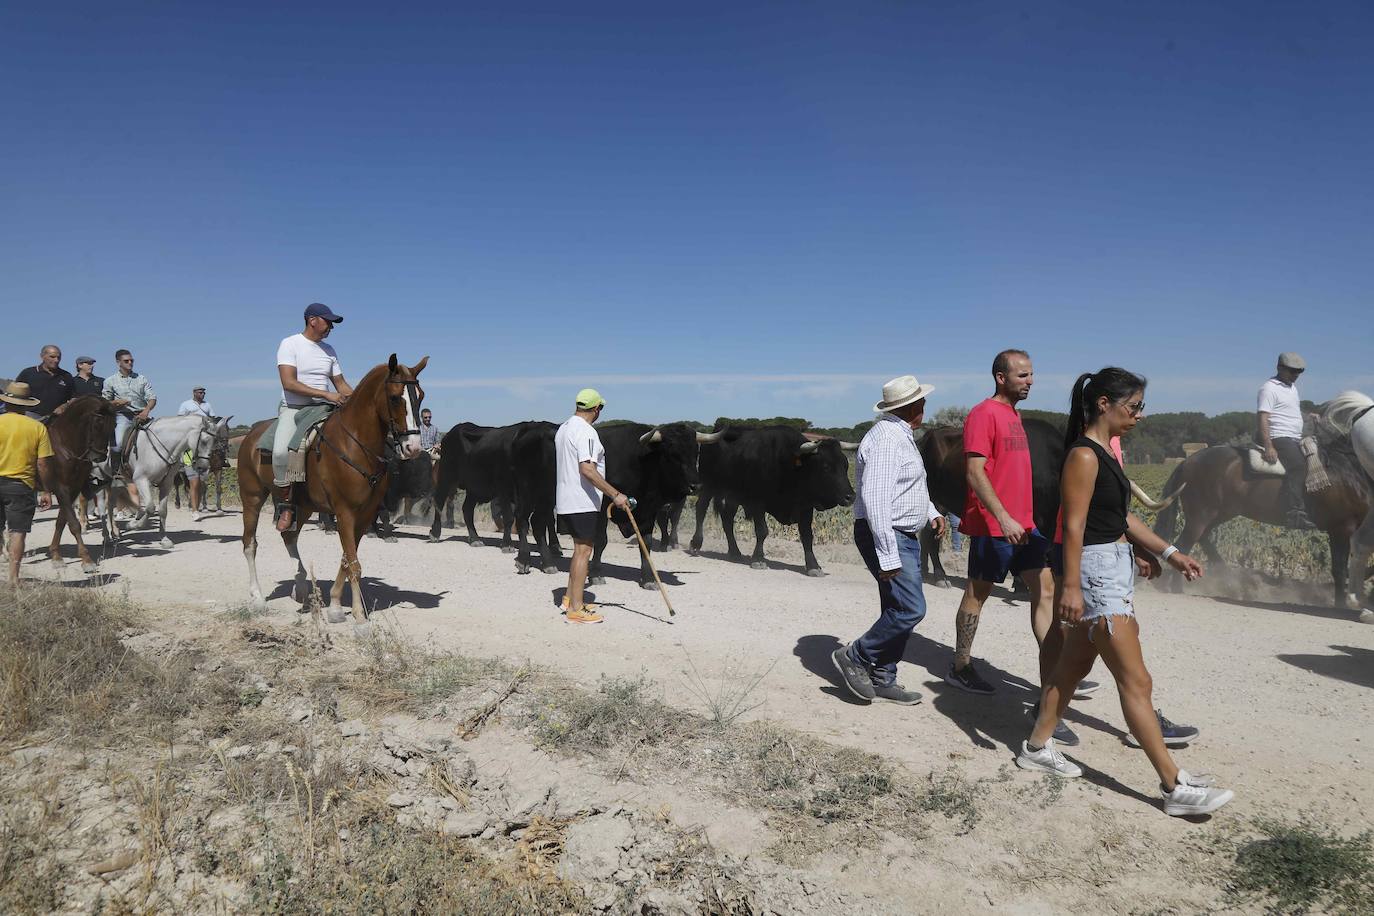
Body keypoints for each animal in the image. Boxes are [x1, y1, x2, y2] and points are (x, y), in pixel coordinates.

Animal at [45, 395, 118, 574]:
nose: (100, 457)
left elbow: (61, 522)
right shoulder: (61, 489)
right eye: (98, 423)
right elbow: (73, 524)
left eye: (114, 425)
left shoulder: (73, 489)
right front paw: (86, 560)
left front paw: (56, 556)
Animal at [108, 417, 232, 552]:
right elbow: (150, 508)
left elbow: (163, 511)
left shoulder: (166, 484)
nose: (203, 467)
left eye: (214, 441)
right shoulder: (141, 479)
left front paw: (164, 539)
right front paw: (133, 525)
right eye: (204, 441)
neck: (159, 447)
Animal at [236, 354, 425, 626]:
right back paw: (258, 597)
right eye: (394, 397)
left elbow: (347, 559)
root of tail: (251, 435)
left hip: (303, 506)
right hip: (252, 498)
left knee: (289, 537)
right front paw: (359, 617)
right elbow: (353, 564)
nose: (414, 447)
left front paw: (335, 606)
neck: (355, 443)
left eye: (420, 396)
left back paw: (301, 587)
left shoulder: (364, 515)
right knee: (250, 544)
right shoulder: (345, 512)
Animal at [1148, 442, 1374, 612]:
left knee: (1201, 540)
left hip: (1221, 513)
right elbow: (1340, 569)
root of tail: (1187, 461)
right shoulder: (1341, 529)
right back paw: (1179, 587)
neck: (1351, 472)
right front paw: (1341, 604)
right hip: (1201, 515)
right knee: (1184, 545)